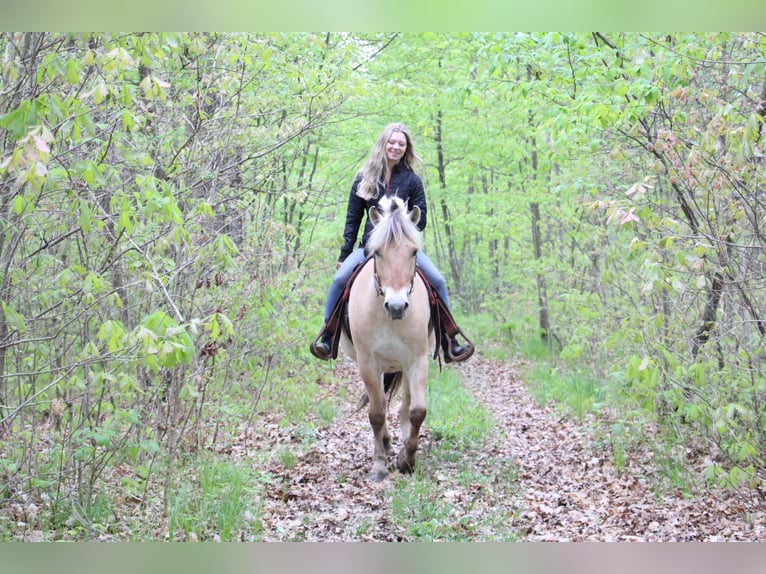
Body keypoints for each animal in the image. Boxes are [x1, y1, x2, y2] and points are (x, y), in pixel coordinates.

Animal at [340, 196, 436, 484]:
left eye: (413, 252)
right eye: (378, 252)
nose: (396, 306)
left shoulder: (417, 360)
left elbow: (417, 411)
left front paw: (408, 460)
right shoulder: (367, 363)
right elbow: (376, 413)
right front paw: (379, 466)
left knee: (404, 406)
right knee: (381, 403)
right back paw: (385, 442)